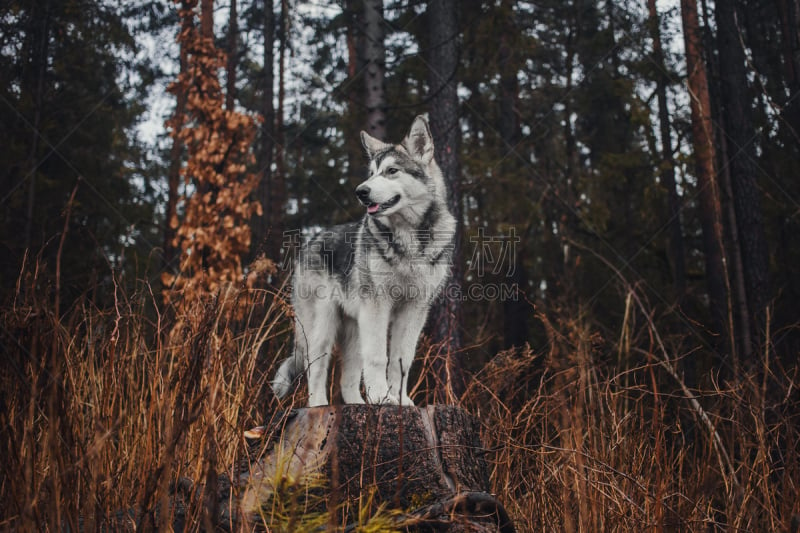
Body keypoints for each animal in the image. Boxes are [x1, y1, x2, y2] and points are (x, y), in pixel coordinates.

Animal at [270, 116, 454, 406]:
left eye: (391, 171)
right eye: (372, 173)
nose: (361, 191)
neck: (410, 240)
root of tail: (310, 241)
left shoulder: (415, 310)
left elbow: (401, 361)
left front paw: (400, 400)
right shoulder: (377, 305)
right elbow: (378, 358)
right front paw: (381, 397)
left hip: (356, 330)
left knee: (348, 379)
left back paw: (357, 403)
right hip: (325, 329)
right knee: (316, 370)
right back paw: (319, 406)